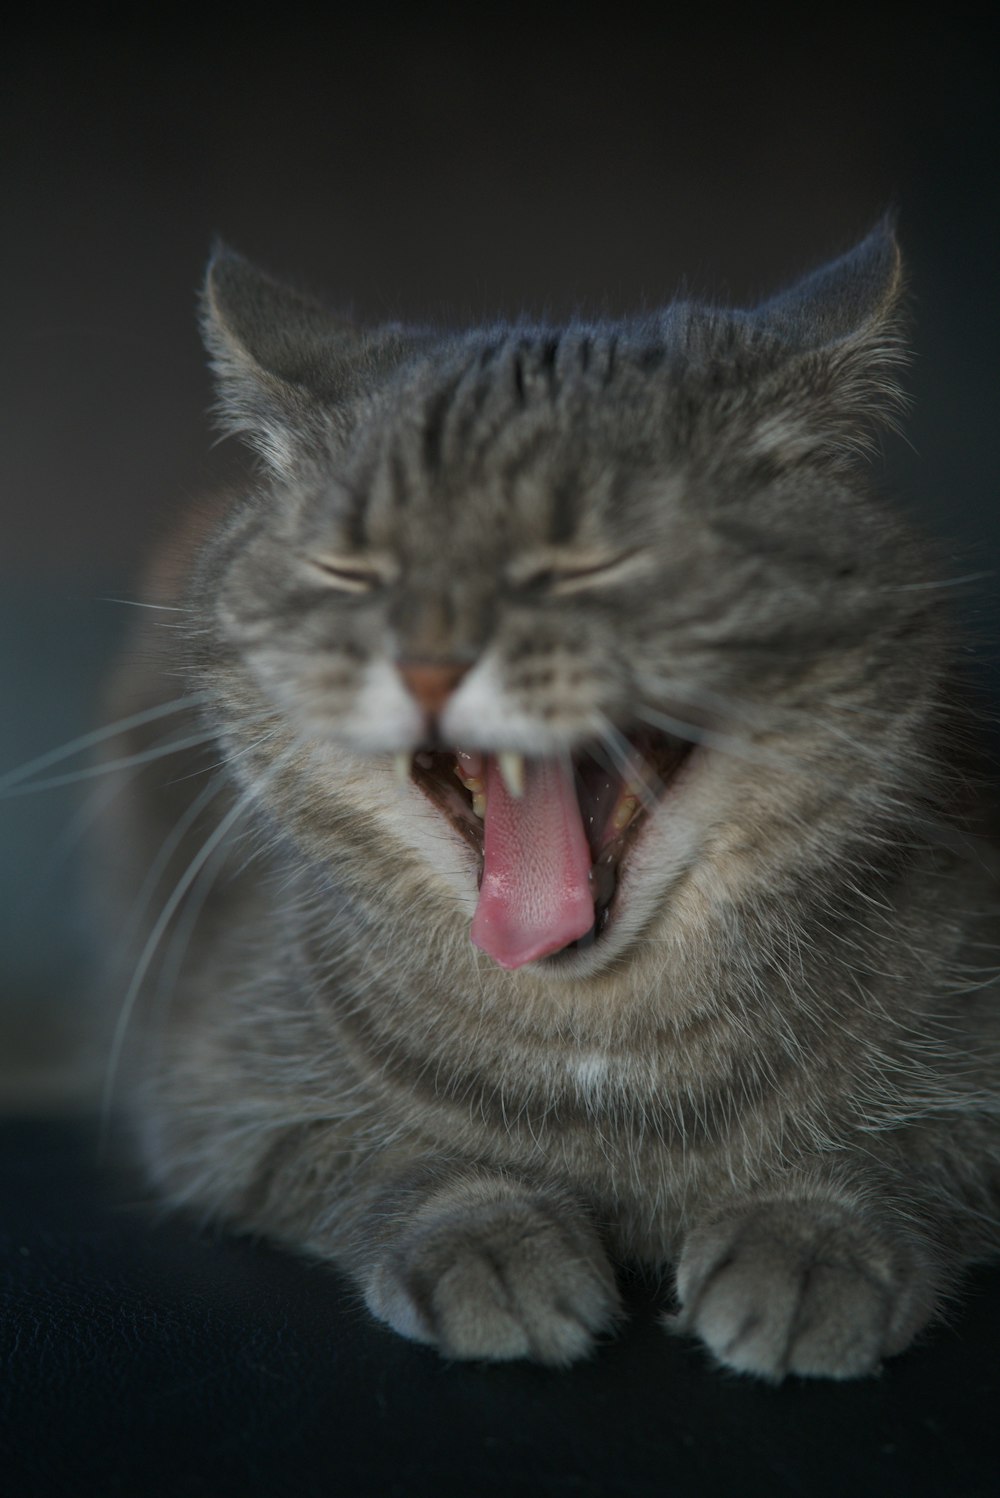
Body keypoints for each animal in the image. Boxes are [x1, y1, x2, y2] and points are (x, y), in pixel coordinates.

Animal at [97, 221, 999, 1378]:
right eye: (350, 570)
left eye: (582, 564)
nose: (429, 661)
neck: (599, 1055)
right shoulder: (212, 1098)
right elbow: (388, 1156)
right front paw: (491, 1240)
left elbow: (907, 1154)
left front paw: (810, 1241)